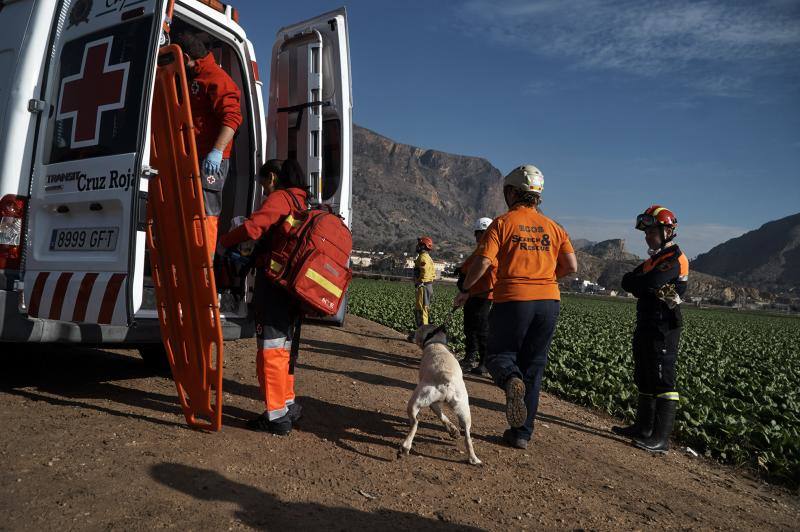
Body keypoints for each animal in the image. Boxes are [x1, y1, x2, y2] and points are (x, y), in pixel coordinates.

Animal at [400, 322, 482, 464]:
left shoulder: (432, 404)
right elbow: (443, 417)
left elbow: (440, 415)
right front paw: (453, 430)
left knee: (415, 423)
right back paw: (473, 458)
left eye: (417, 331)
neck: (435, 343)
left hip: (415, 400)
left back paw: (405, 447)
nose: (409, 335)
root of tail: (446, 378)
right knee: (468, 436)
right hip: (464, 409)